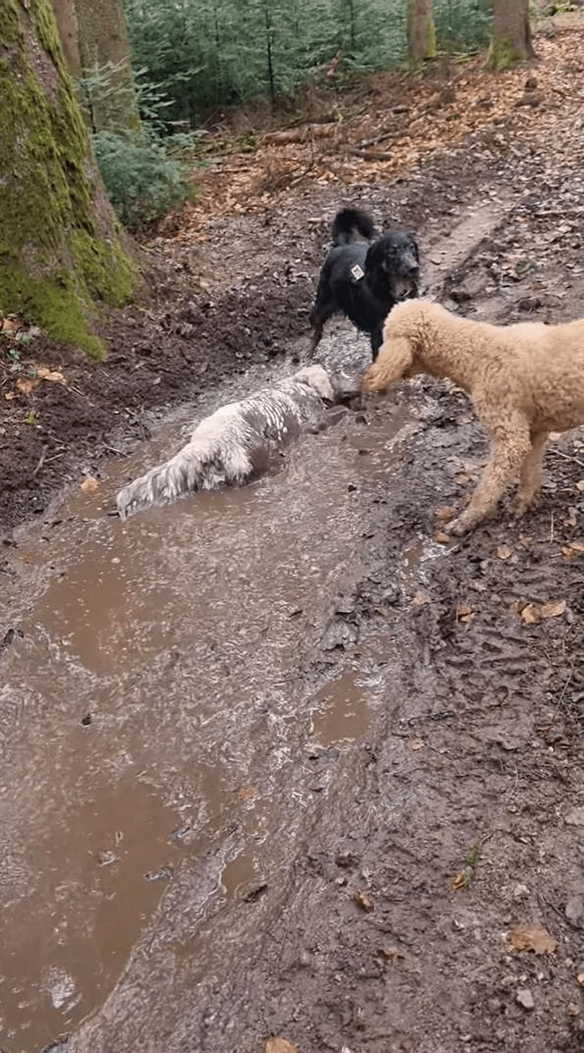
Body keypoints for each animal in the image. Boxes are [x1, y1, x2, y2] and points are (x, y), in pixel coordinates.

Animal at [115, 366, 353, 522]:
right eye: (334, 373)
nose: (346, 373)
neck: (301, 386)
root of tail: (203, 445)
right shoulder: (314, 420)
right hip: (249, 462)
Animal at [311, 207, 420, 360]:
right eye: (392, 251)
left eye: (412, 248)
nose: (414, 268)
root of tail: (343, 245)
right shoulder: (379, 334)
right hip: (325, 300)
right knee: (316, 319)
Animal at [364, 303, 584, 534]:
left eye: (385, 335)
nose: (370, 373)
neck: (477, 354)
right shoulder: (534, 431)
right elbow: (529, 472)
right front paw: (522, 503)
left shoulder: (509, 438)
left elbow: (487, 487)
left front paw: (467, 520)